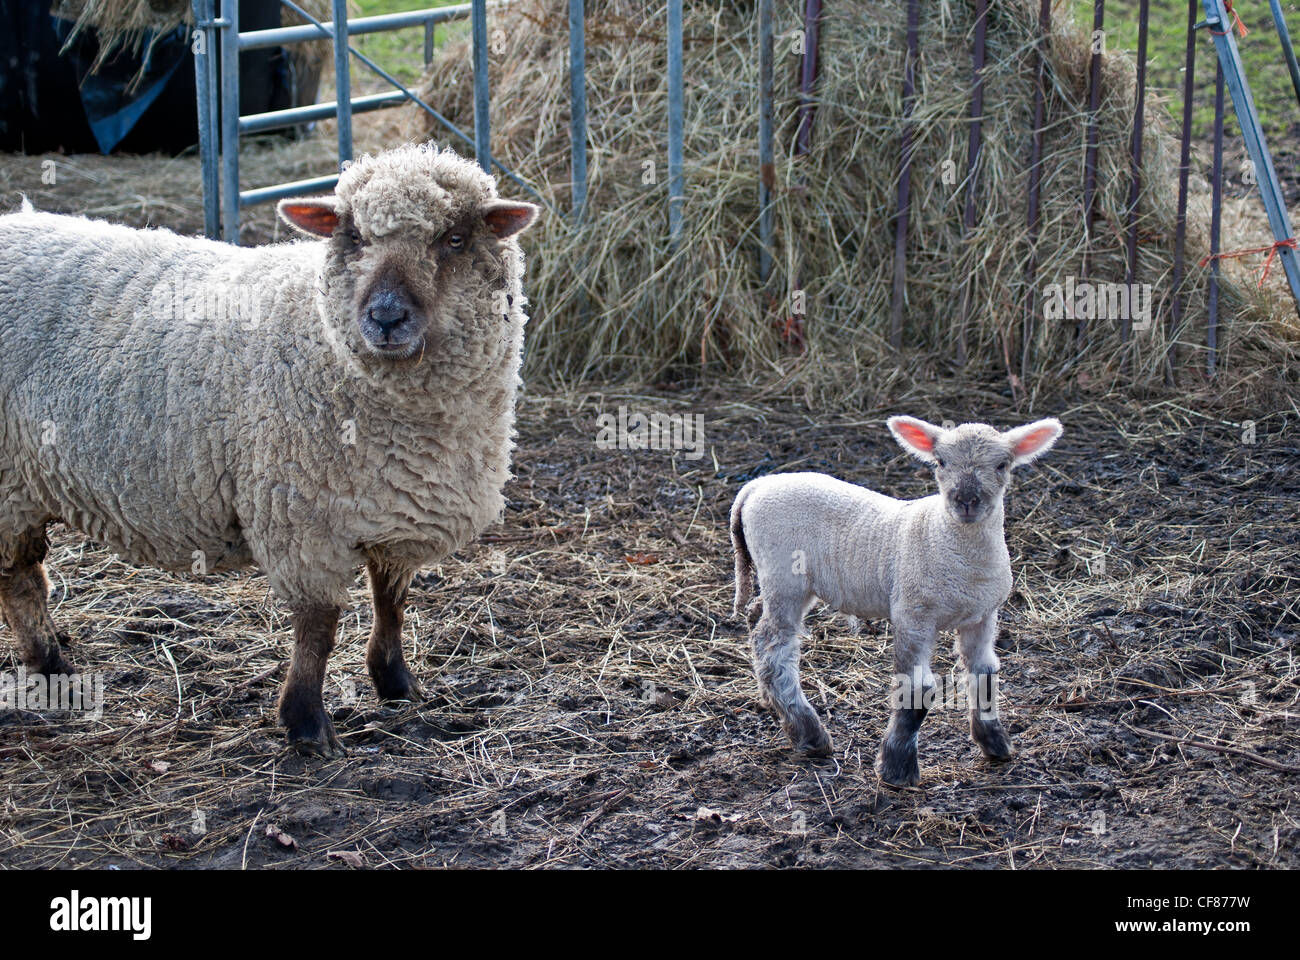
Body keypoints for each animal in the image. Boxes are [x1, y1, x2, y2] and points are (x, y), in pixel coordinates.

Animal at [0, 142, 539, 756]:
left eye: (454, 238)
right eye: (353, 235)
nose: (384, 317)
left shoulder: (397, 509)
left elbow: (391, 603)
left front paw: (396, 683)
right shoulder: (302, 521)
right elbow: (318, 629)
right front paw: (306, 723)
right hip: (8, 480)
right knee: (19, 580)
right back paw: (51, 665)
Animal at [729, 416, 1063, 786]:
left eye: (1002, 464)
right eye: (940, 462)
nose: (966, 501)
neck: (947, 539)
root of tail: (755, 487)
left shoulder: (983, 615)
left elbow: (985, 674)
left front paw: (996, 745)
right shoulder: (913, 614)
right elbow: (917, 691)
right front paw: (897, 768)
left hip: (781, 582)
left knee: (756, 619)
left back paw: (775, 707)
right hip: (784, 576)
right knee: (773, 648)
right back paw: (810, 735)